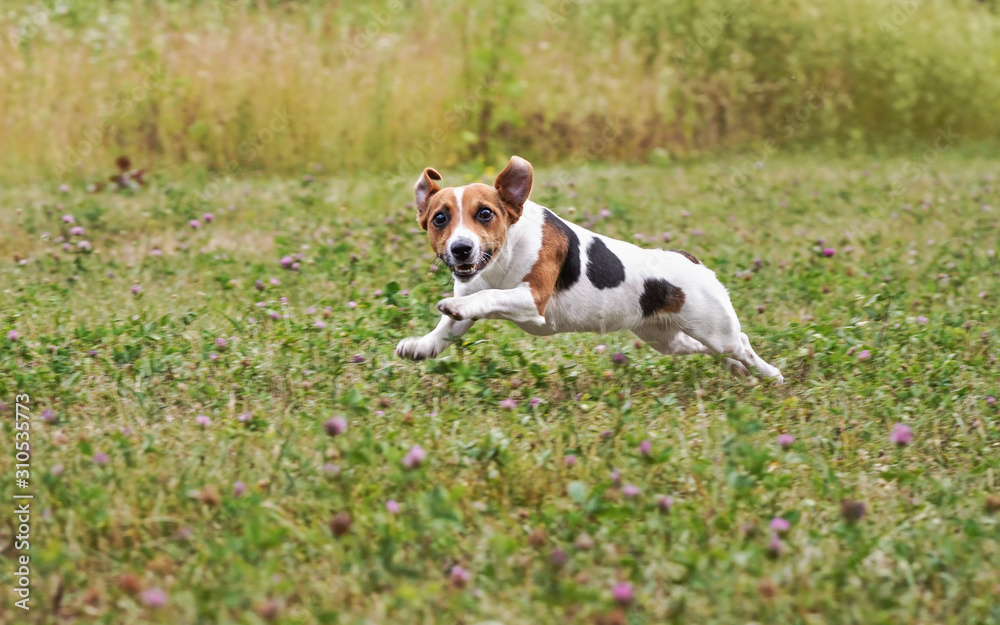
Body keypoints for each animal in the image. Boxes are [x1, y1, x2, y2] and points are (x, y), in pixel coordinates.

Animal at [394, 155, 784, 380]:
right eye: (439, 218)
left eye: (485, 213)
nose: (461, 249)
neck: (503, 256)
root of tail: (690, 259)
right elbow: (448, 327)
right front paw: (422, 346)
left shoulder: (531, 299)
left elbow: (486, 298)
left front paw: (453, 305)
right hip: (665, 338)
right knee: (702, 348)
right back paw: (735, 370)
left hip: (716, 328)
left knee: (742, 344)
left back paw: (769, 375)